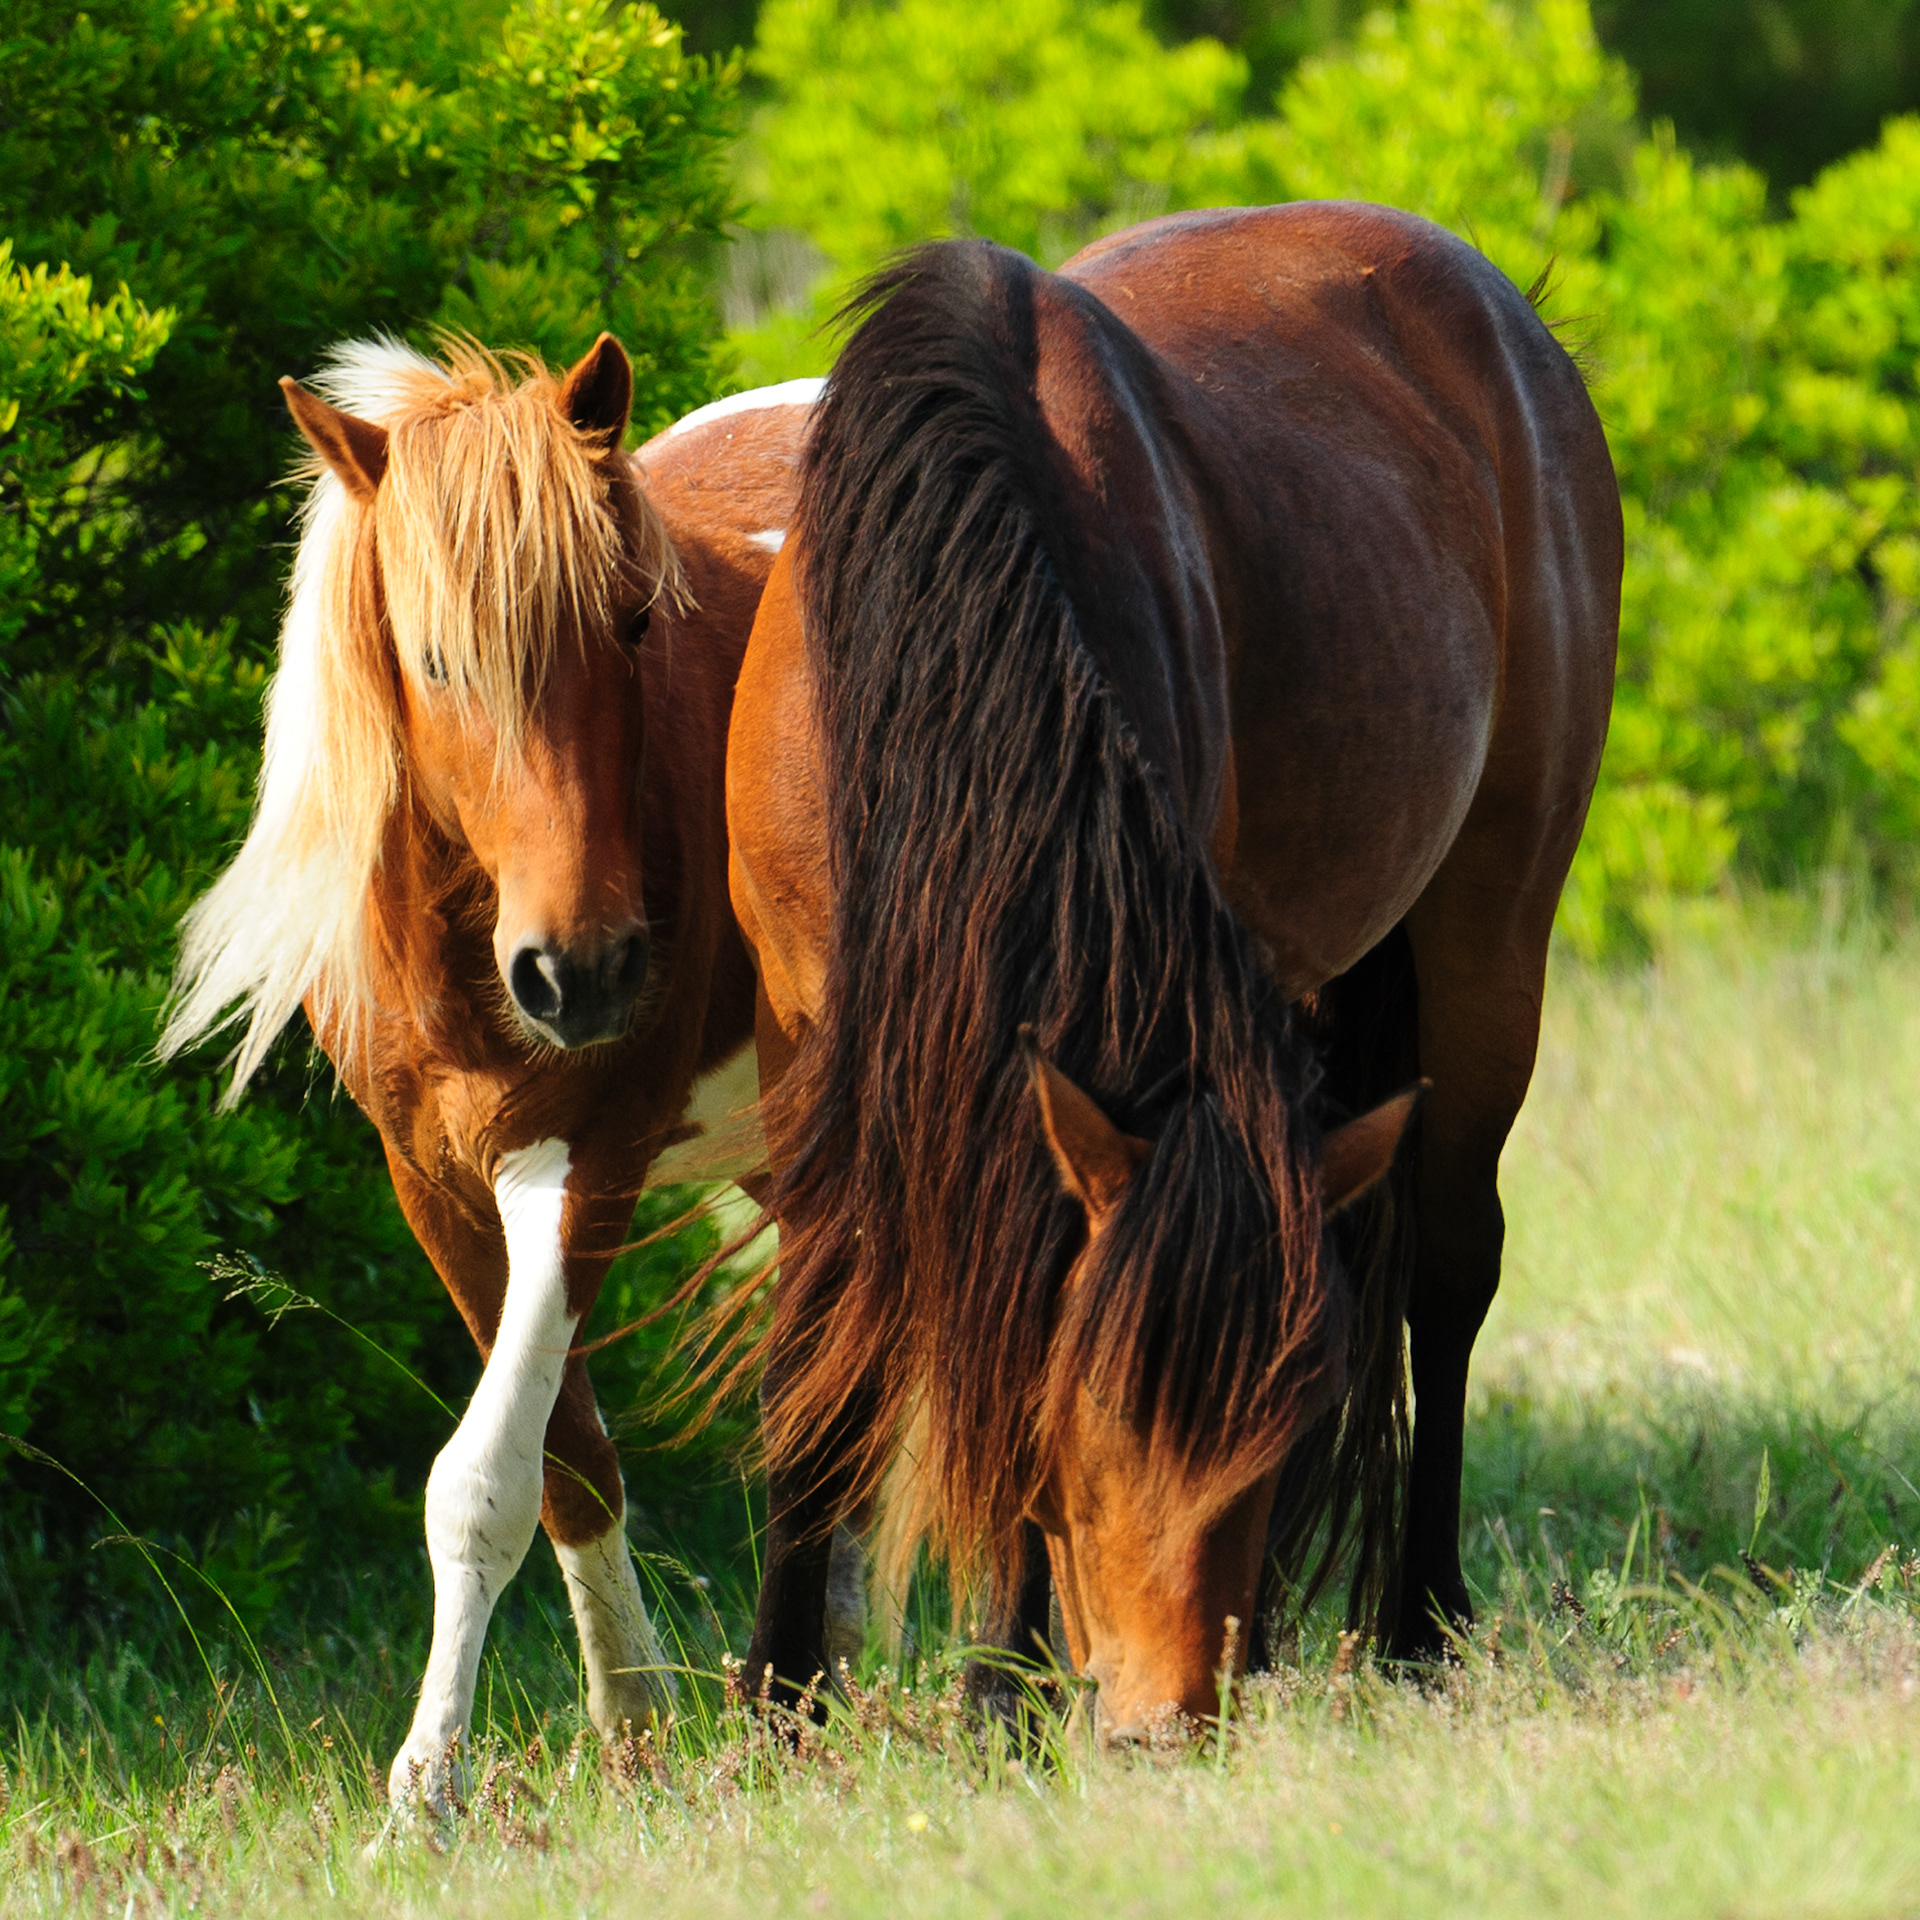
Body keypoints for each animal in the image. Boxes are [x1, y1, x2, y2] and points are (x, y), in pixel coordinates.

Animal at [162, 336, 823, 1804]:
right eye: (433, 659)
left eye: (633, 624)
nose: (582, 974)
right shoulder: (440, 1186)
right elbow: (563, 1465)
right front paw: (632, 1732)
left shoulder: (587, 1169)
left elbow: (481, 1483)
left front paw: (422, 1795)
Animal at [723, 203, 1620, 1741]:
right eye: (1086, 1420)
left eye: (1277, 1437)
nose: (1164, 1717)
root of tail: (1512, 322)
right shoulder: (809, 1035)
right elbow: (817, 1352)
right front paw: (788, 1699)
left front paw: (998, 1695)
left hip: (1491, 934)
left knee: (1450, 1273)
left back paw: (1418, 1631)